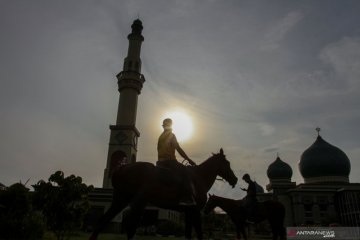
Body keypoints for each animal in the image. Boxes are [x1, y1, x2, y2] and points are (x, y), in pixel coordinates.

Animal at [88, 148, 238, 240]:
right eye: (227, 163)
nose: (235, 179)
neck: (199, 178)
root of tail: (121, 167)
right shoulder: (195, 211)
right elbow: (199, 234)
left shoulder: (189, 212)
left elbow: (188, 234)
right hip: (137, 202)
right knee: (130, 228)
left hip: (121, 200)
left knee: (103, 222)